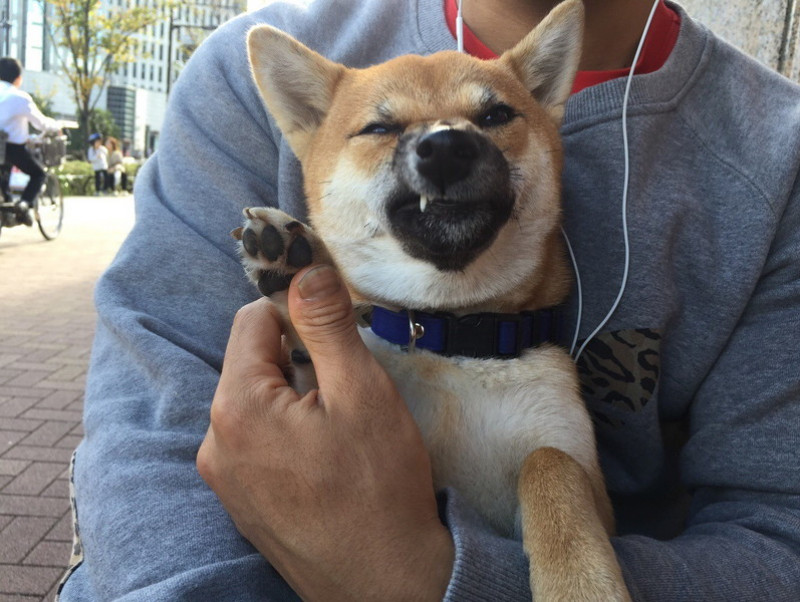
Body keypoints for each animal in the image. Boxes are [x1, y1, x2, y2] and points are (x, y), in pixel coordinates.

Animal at [236, 2, 632, 596]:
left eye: (496, 116)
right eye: (379, 127)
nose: (447, 145)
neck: (453, 336)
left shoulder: (591, 487)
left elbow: (549, 465)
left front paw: (581, 582)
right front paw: (295, 271)